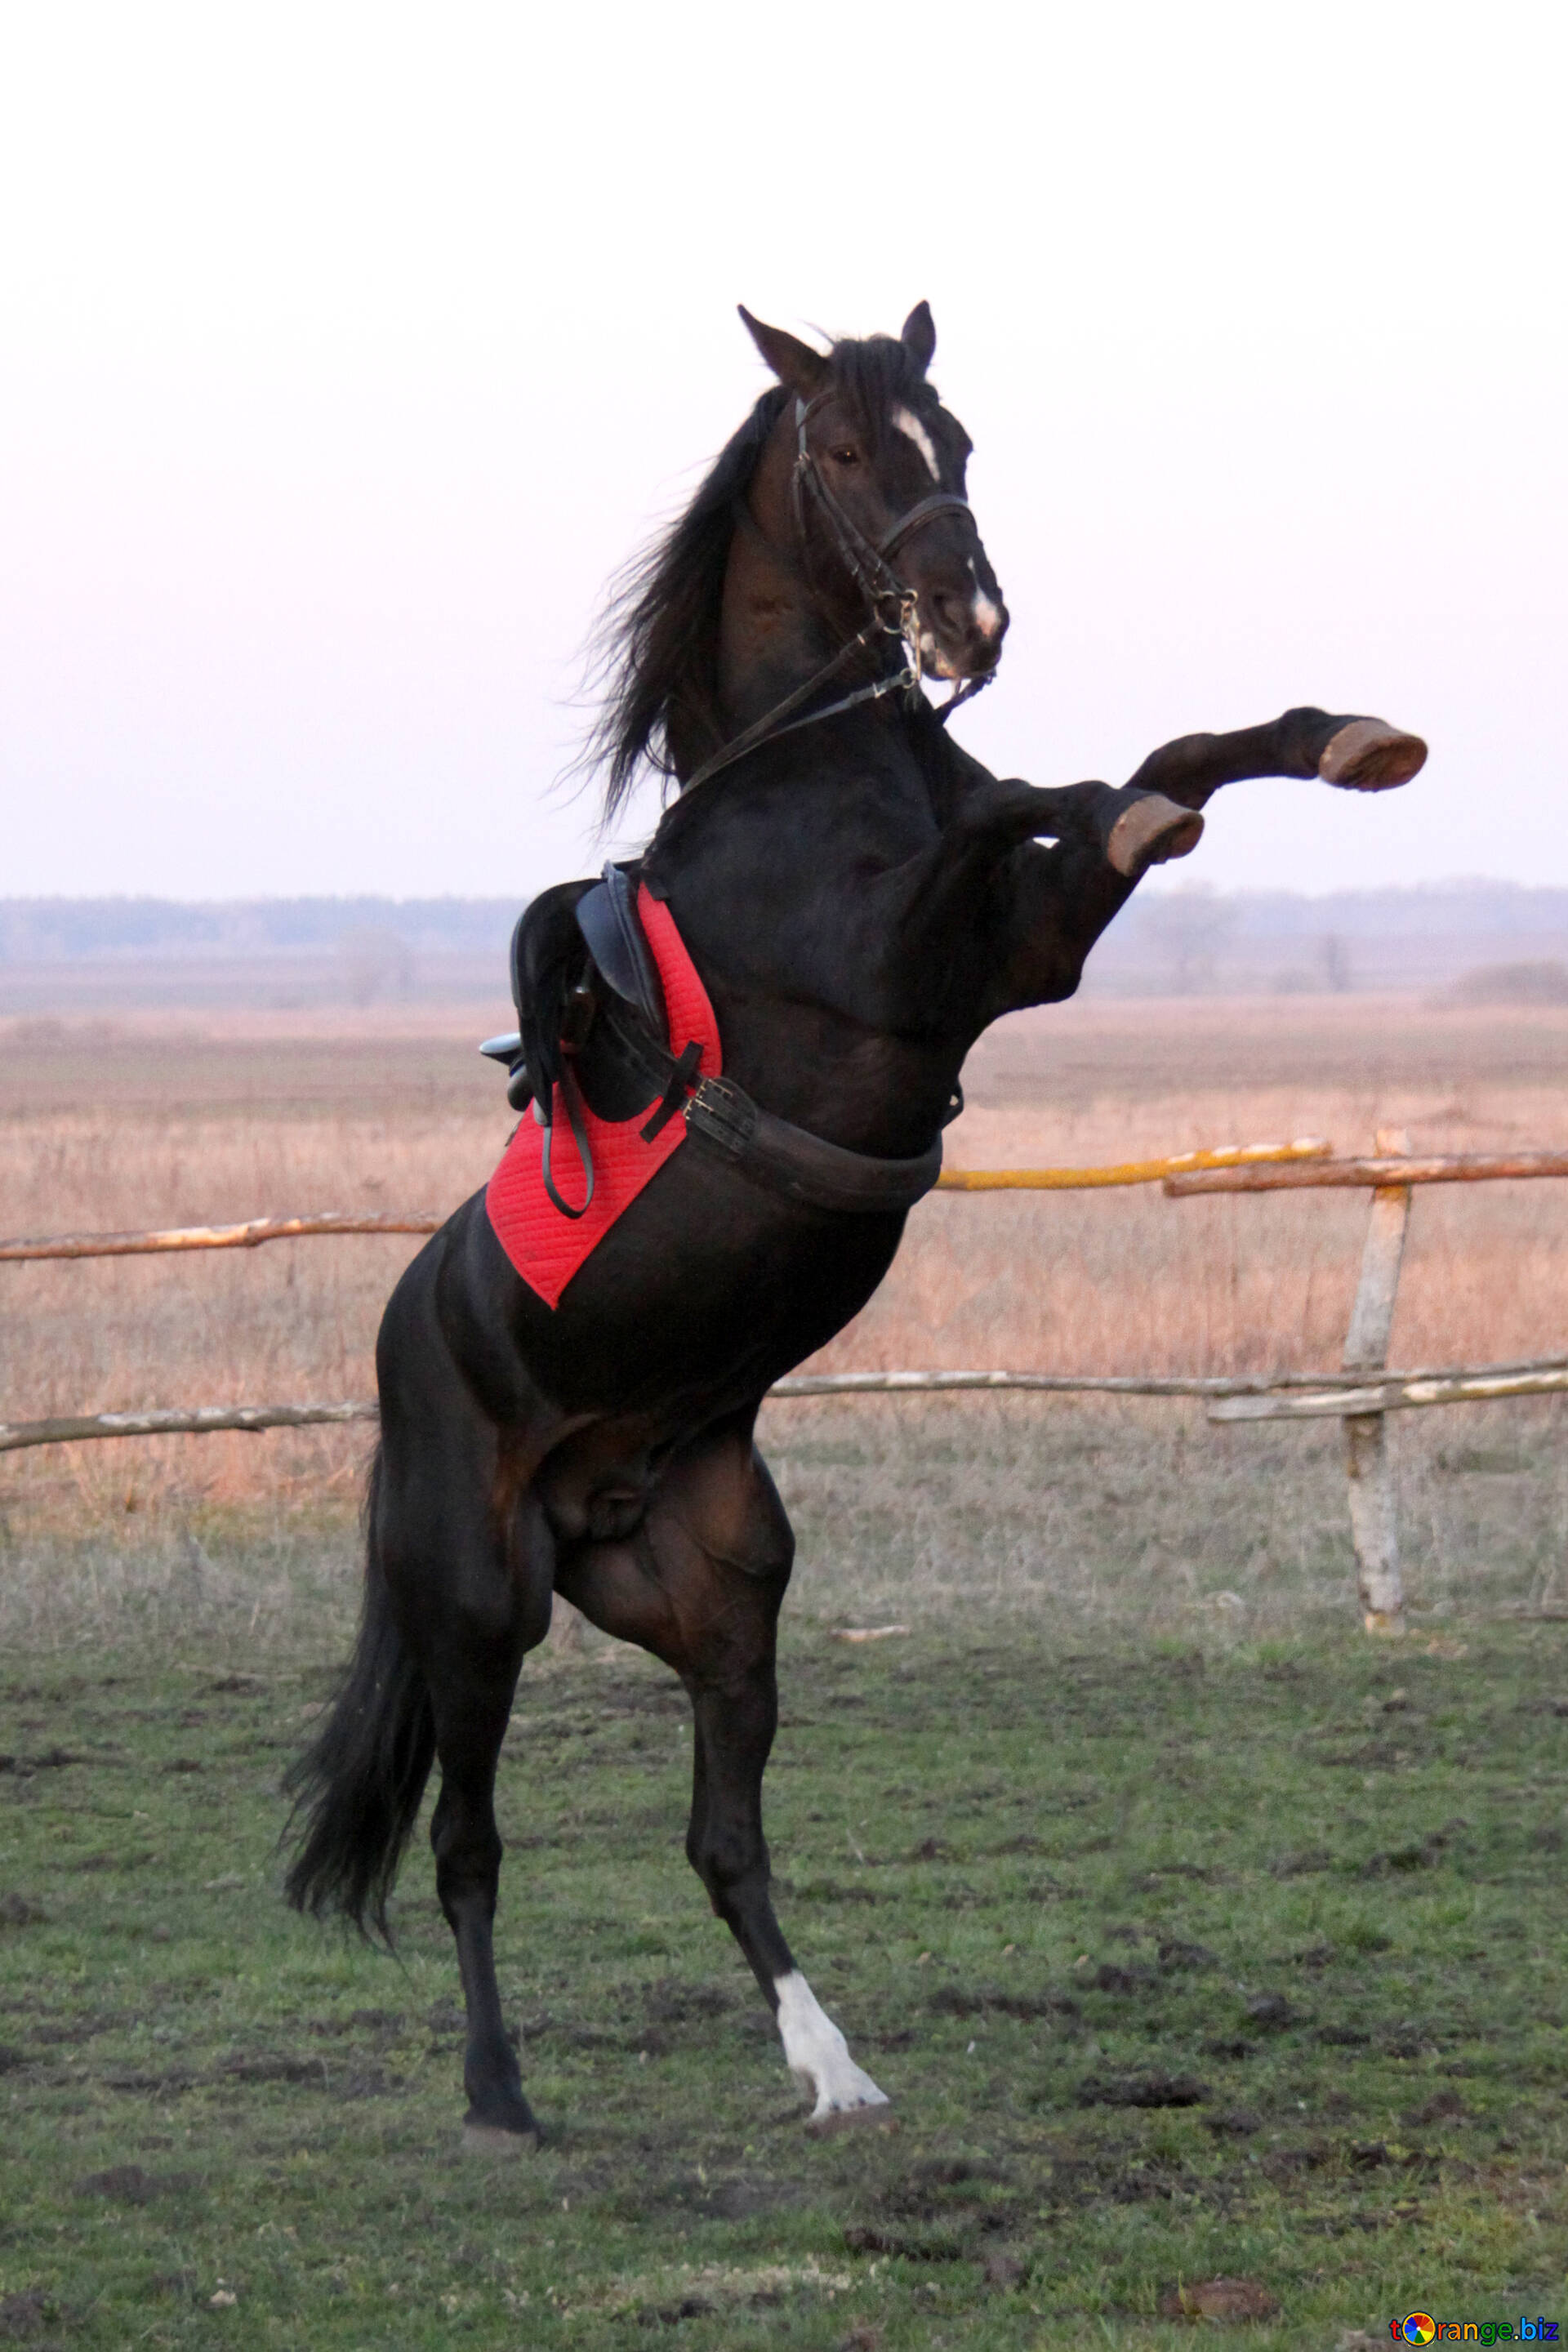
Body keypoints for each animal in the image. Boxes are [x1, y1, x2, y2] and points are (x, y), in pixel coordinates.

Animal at [282, 308, 1419, 2154]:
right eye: (838, 449)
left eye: (954, 436)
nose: (972, 623)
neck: (810, 776)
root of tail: (405, 1362)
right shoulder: (927, 955)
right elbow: (1050, 799)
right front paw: (1115, 791)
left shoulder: (1016, 949)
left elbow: (1159, 767)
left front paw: (1346, 738)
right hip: (474, 1605)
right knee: (466, 1847)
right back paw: (500, 2096)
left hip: (724, 1596)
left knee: (722, 1842)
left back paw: (834, 2068)